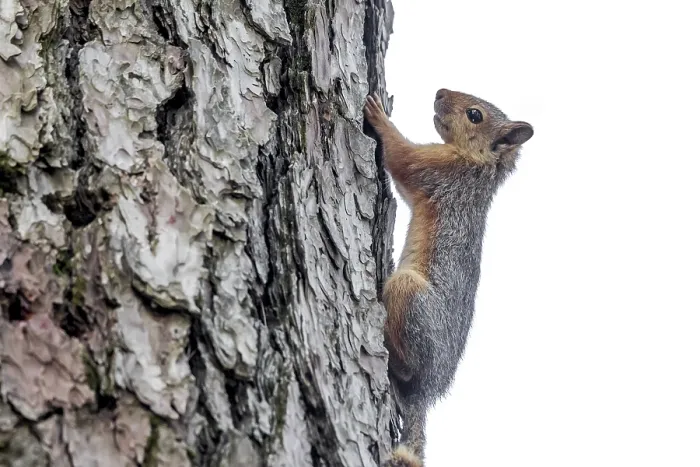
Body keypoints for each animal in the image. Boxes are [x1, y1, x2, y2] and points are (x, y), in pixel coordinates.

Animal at [364, 89, 533, 466]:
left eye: (475, 115)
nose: (440, 91)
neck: (479, 167)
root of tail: (428, 390)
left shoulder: (439, 172)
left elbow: (401, 158)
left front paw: (380, 117)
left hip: (409, 293)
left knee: (408, 368)